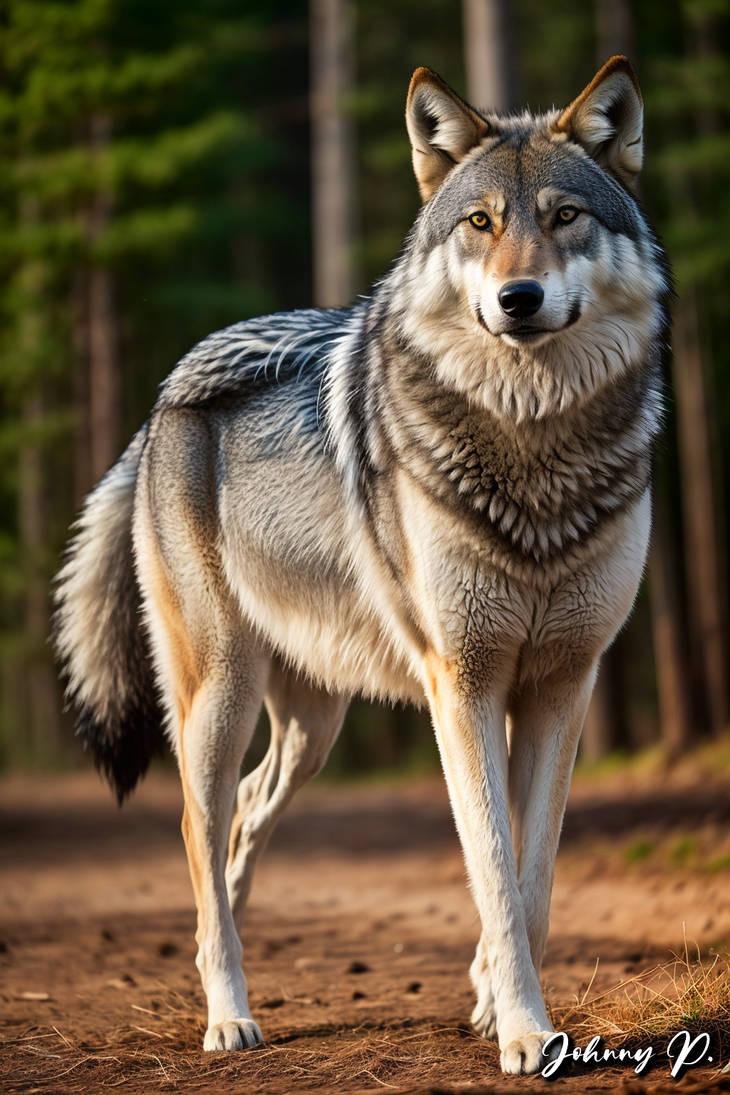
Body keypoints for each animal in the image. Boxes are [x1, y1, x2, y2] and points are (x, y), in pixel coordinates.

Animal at [54, 56, 668, 1074]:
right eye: (481, 223)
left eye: (566, 216)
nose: (518, 299)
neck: (535, 447)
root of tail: (159, 407)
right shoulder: (463, 683)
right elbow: (493, 868)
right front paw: (524, 1030)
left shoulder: (562, 682)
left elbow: (532, 875)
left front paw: (496, 1003)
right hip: (219, 695)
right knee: (193, 826)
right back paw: (226, 1011)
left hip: (313, 724)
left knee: (238, 823)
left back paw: (220, 953)